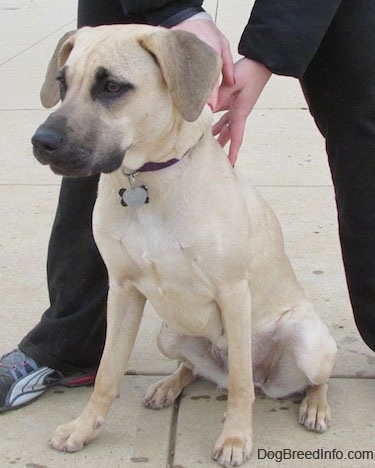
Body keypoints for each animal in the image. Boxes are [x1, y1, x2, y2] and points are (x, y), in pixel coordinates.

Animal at [31, 26, 338, 468]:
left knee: (303, 379)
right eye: (61, 82)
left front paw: (235, 437)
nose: (41, 142)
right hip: (170, 334)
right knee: (194, 368)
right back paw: (169, 385)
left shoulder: (233, 292)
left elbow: (241, 383)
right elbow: (107, 372)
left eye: (111, 87)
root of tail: (267, 379)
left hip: (311, 343)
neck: (147, 180)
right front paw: (84, 428)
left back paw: (314, 405)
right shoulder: (122, 290)